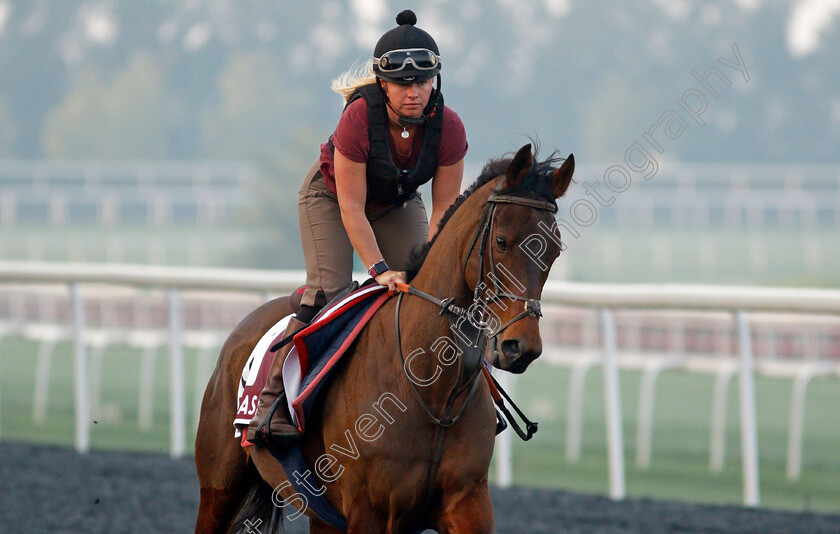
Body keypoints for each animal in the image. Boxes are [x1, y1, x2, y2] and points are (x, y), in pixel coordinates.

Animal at [194, 144, 576, 532]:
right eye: (501, 241)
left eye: (555, 249)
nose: (521, 347)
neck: (433, 390)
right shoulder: (369, 511)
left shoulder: (468, 501)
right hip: (219, 488)